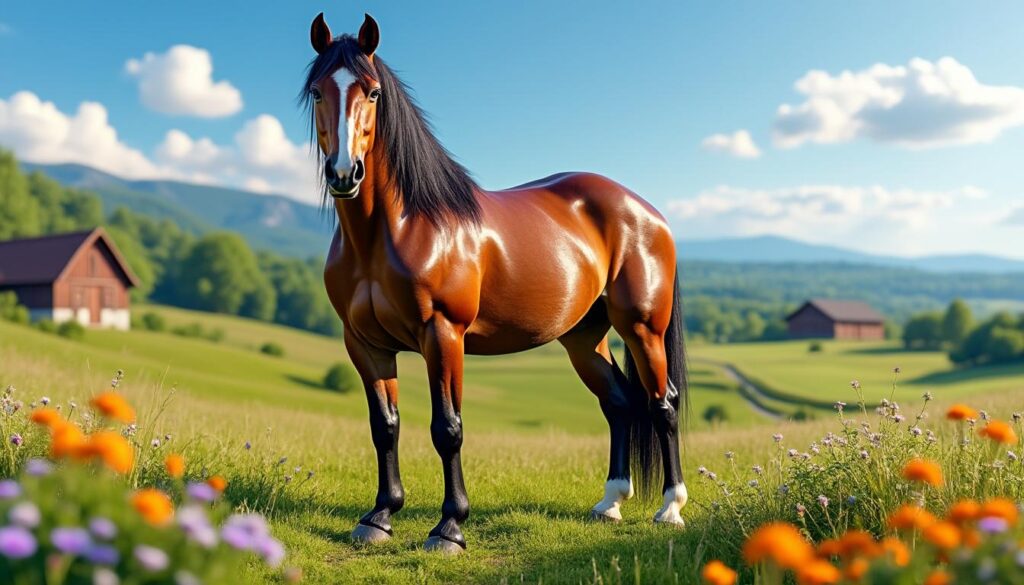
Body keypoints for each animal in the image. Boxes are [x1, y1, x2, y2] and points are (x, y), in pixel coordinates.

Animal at [303, 12, 687, 553]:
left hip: (643, 328)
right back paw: (610, 502)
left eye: (373, 92)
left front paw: (449, 527)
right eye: (318, 91)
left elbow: (447, 429)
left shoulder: (443, 335)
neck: (394, 230)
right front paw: (379, 517)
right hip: (583, 338)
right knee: (619, 402)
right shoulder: (364, 344)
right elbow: (385, 426)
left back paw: (670, 508)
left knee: (663, 404)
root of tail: (649, 213)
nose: (344, 173)